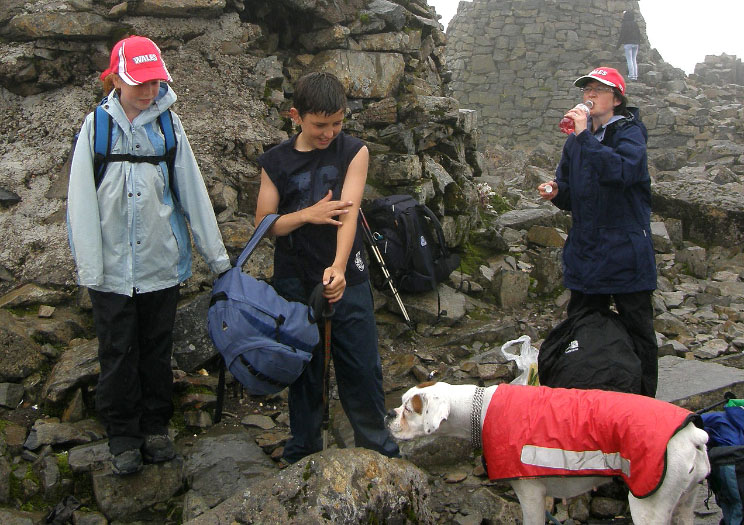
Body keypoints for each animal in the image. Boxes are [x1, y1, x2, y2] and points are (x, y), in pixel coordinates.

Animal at [386, 380, 712, 524]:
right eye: (400, 402)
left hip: (649, 506)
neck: (482, 410)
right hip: (685, 503)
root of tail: (692, 434)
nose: (389, 414)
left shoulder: (530, 496)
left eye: (409, 409)